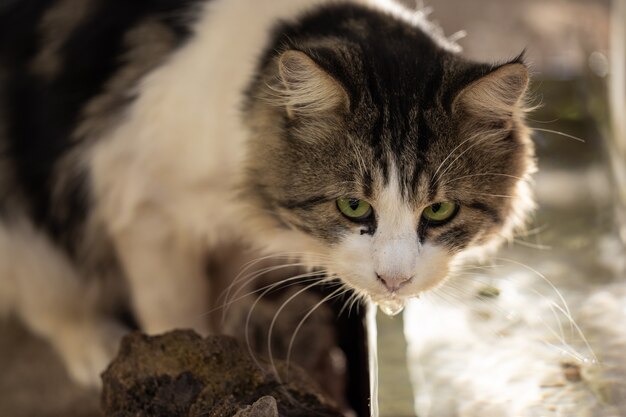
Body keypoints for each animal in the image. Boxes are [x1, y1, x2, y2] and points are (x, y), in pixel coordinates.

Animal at [0, 0, 532, 386]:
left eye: (439, 210)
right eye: (353, 206)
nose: (394, 281)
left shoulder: (232, 229)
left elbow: (220, 299)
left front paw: (229, 349)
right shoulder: (142, 206)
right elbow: (175, 313)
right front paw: (189, 355)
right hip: (26, 229)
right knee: (51, 294)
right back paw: (97, 347)